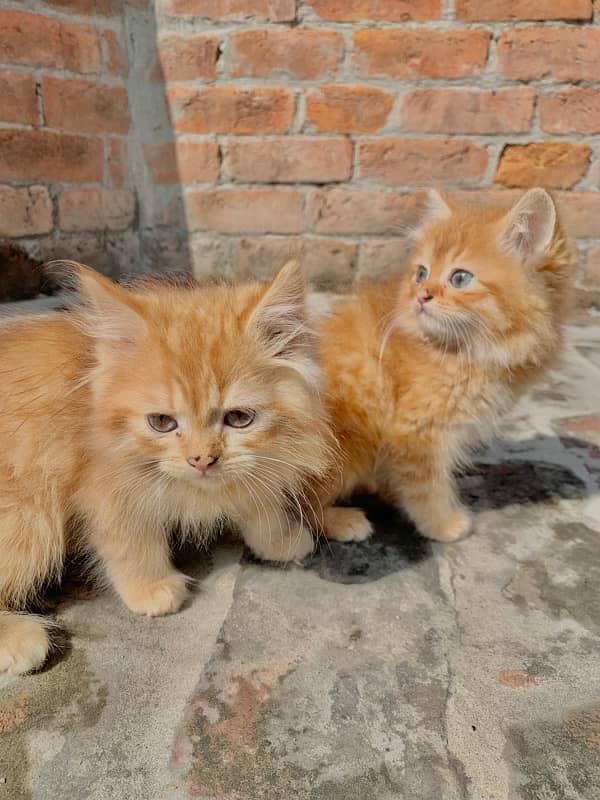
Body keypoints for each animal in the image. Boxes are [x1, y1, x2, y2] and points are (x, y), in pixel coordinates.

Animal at [1, 260, 328, 672]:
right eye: (161, 423)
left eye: (239, 418)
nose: (202, 459)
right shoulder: (105, 485)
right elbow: (130, 539)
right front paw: (150, 587)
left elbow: (258, 501)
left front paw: (278, 539)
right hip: (28, 518)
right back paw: (18, 638)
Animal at [318, 189, 576, 544]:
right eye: (421, 274)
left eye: (459, 278)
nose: (421, 296)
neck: (463, 352)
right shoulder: (416, 432)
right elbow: (428, 488)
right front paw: (444, 525)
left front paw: (392, 493)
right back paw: (343, 521)